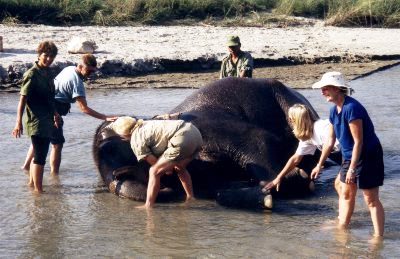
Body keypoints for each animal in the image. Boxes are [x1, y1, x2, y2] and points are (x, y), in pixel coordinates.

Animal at [92, 76, 320, 210]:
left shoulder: (211, 126)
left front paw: (295, 179)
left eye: (109, 142)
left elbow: (258, 138)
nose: (118, 174)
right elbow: (216, 190)